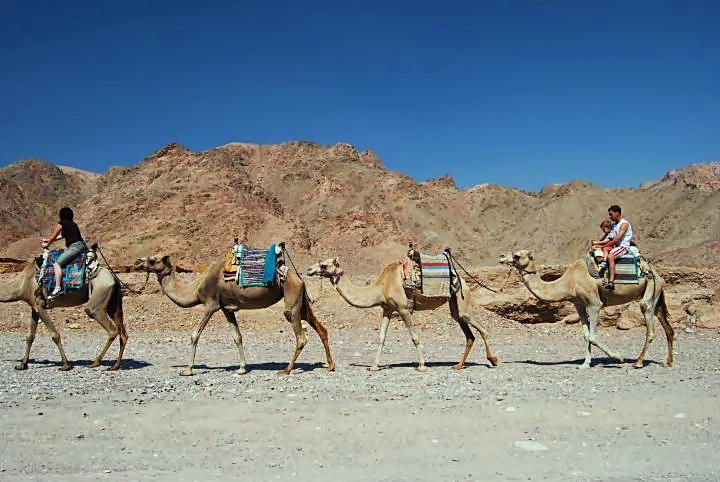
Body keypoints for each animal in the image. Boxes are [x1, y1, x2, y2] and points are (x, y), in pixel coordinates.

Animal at [134, 254, 334, 374]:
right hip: (301, 302)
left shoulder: (211, 305)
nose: (137, 262)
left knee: (301, 336)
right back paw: (330, 366)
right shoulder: (226, 309)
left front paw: (188, 370)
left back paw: (286, 370)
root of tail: (299, 278)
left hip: (291, 298)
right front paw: (241, 369)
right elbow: (237, 337)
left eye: (152, 260)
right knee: (321, 328)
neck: (196, 289)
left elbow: (194, 334)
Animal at [306, 258, 498, 370]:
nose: (309, 270)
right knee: (468, 333)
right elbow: (381, 337)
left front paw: (421, 365)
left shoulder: (403, 308)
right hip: (455, 306)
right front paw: (374, 366)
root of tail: (462, 280)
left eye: (324, 264)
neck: (381, 286)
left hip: (462, 299)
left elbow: (414, 337)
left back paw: (493, 360)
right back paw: (458, 365)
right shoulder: (387, 309)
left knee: (481, 328)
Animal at [498, 249, 672, 370]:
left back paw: (638, 362)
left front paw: (618, 358)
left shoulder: (594, 304)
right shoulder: (579, 304)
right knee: (668, 328)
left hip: (650, 291)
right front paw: (585, 363)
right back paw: (668, 362)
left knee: (650, 325)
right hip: (657, 297)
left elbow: (593, 336)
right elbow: (586, 335)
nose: (501, 256)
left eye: (517, 255)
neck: (569, 282)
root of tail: (658, 275)